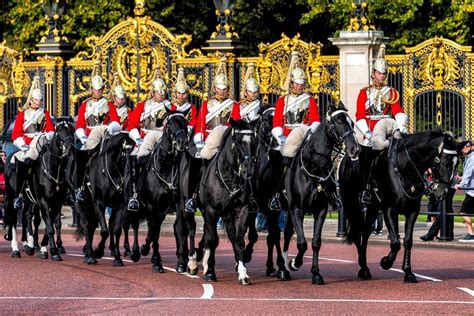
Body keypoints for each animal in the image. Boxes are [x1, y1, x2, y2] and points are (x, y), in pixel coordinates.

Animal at [2, 118, 75, 260]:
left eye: (72, 130)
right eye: (59, 130)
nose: (69, 148)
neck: (53, 170)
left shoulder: (56, 203)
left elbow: (50, 224)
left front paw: (44, 248)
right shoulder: (43, 201)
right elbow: (49, 226)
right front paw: (53, 251)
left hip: (28, 200)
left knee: (26, 216)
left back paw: (28, 245)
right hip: (12, 195)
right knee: (14, 219)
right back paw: (15, 249)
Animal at [195, 118, 258, 284]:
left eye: (254, 142)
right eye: (238, 141)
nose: (248, 170)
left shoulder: (242, 209)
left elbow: (238, 239)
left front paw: (243, 273)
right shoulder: (211, 210)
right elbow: (212, 239)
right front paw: (210, 271)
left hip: (228, 214)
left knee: (230, 235)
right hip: (205, 211)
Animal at [282, 102, 360, 286]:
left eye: (352, 123)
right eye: (339, 121)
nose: (355, 149)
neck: (313, 166)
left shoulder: (321, 210)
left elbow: (316, 242)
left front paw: (316, 273)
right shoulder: (297, 209)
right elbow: (302, 243)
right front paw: (295, 263)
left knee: (287, 233)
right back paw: (282, 269)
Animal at [338, 130, 462, 282]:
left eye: (457, 163)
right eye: (444, 161)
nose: (443, 193)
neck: (405, 168)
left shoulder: (412, 211)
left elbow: (407, 241)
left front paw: (408, 272)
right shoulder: (389, 209)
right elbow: (395, 242)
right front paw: (386, 262)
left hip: (372, 209)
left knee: (365, 233)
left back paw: (364, 268)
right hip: (352, 205)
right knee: (357, 233)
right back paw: (364, 268)